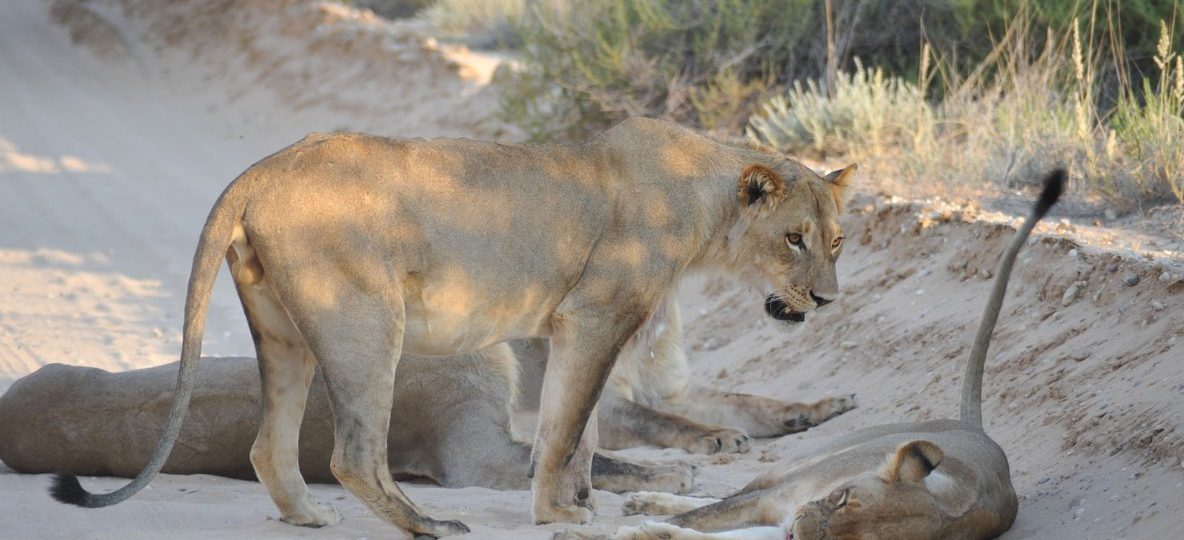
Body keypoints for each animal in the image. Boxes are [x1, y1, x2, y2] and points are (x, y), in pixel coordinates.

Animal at [48, 117, 857, 536]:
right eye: (793, 239)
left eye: (837, 240)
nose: (825, 301)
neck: (704, 205)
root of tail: (261, 169)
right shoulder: (594, 317)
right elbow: (568, 429)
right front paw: (560, 514)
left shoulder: (570, 329)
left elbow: (579, 431)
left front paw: (575, 502)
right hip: (366, 323)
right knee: (353, 454)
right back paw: (429, 526)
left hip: (283, 334)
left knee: (268, 448)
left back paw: (309, 517)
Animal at [600, 171, 1065, 540]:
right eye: (840, 499)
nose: (799, 527)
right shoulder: (605, 404)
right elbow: (660, 424)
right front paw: (711, 440)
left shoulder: (672, 393)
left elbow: (743, 404)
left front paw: (811, 409)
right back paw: (664, 483)